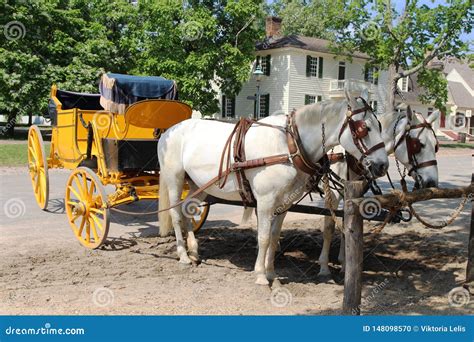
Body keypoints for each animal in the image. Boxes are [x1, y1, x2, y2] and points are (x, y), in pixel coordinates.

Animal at [159, 89, 388, 284]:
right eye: (364, 128)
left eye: (380, 126)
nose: (383, 165)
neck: (288, 143)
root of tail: (169, 131)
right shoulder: (265, 200)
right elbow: (264, 237)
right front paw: (260, 275)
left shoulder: (284, 202)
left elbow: (274, 235)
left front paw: (271, 272)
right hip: (175, 179)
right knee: (176, 214)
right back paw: (183, 255)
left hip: (200, 185)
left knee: (188, 209)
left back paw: (194, 251)